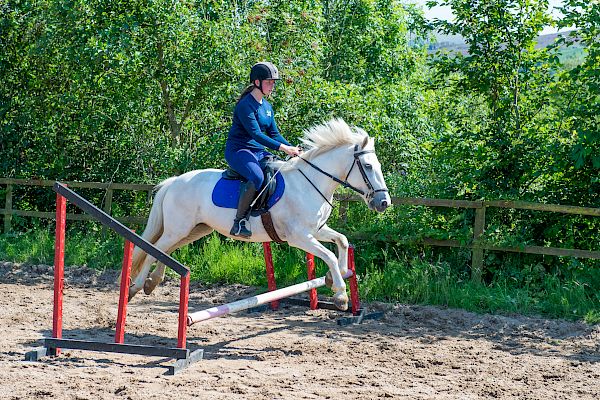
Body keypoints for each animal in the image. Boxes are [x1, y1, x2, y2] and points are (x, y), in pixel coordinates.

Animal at [127, 117, 390, 310]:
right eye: (368, 167)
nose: (384, 202)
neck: (311, 182)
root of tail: (174, 181)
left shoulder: (316, 230)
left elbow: (342, 242)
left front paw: (334, 277)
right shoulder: (299, 237)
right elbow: (330, 255)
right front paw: (341, 295)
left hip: (195, 229)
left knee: (165, 250)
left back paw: (151, 282)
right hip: (178, 228)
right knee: (154, 249)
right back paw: (136, 287)